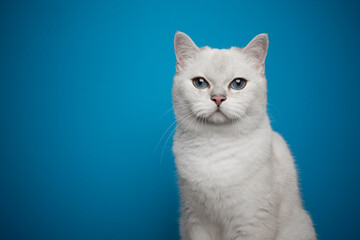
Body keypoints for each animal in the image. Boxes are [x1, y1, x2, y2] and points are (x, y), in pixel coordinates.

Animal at [172, 31, 316, 240]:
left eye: (238, 84)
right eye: (200, 83)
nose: (218, 98)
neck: (215, 147)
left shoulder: (251, 223)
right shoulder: (196, 221)